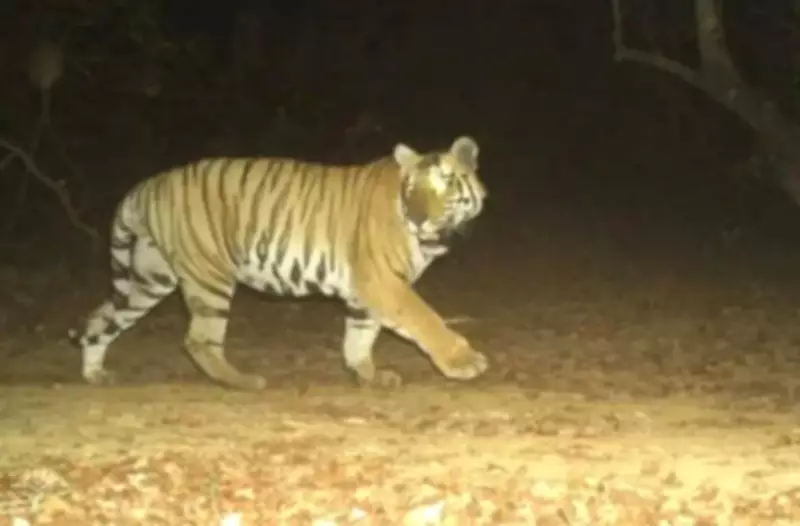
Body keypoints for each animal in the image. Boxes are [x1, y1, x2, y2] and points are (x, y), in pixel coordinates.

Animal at [69, 136, 489, 390]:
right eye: (411, 189)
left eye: (446, 184)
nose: (418, 219)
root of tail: (146, 185)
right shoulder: (383, 280)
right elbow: (425, 319)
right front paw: (464, 362)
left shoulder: (366, 290)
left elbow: (360, 335)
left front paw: (369, 376)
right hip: (209, 277)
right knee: (199, 341)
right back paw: (242, 381)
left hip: (149, 278)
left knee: (100, 317)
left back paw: (94, 373)